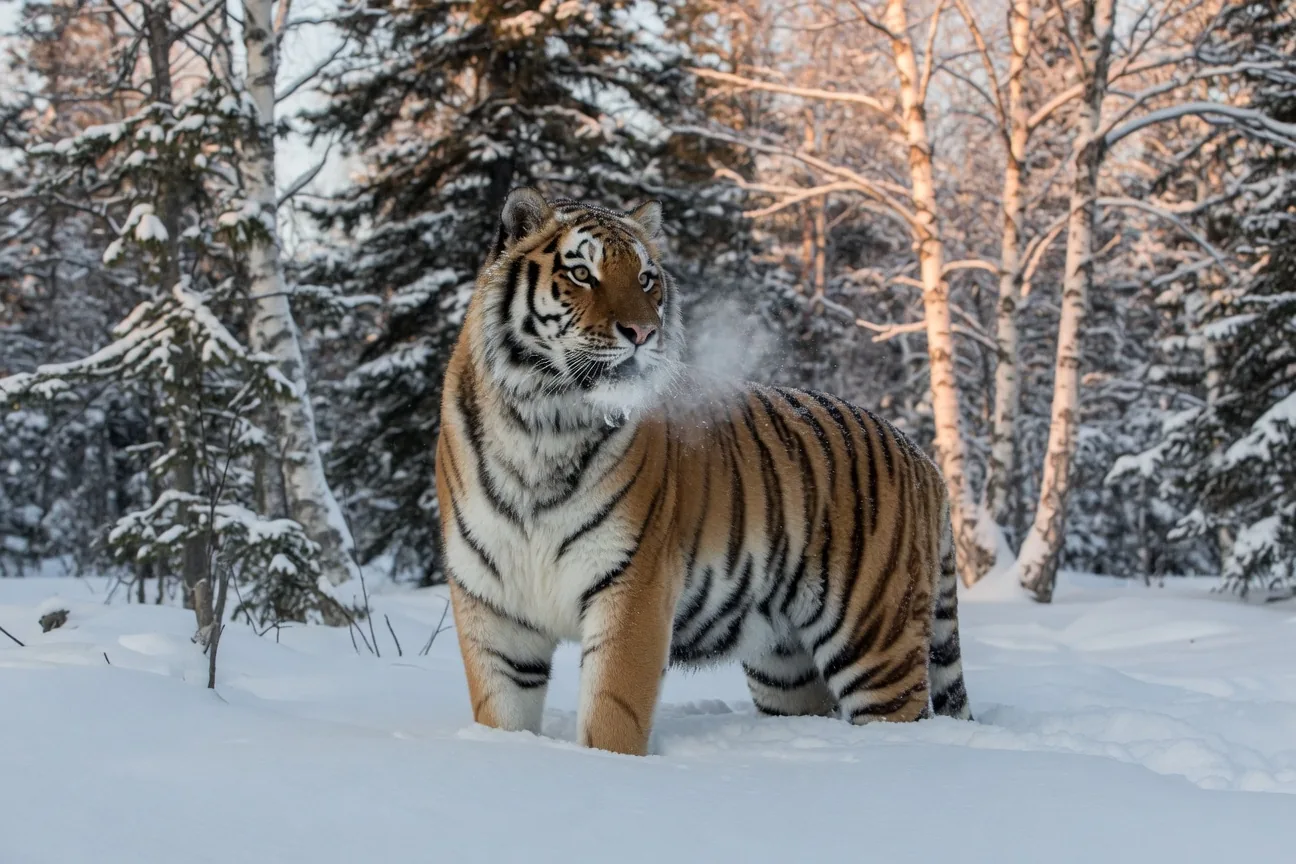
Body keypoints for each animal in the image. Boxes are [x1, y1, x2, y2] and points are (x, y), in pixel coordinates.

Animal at [435, 188, 972, 756]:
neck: (541, 426)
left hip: (876, 644)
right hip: (785, 666)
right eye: (582, 273)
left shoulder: (633, 589)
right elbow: (501, 717)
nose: (643, 332)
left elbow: (612, 719)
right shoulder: (492, 609)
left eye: (646, 278)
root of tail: (923, 459)